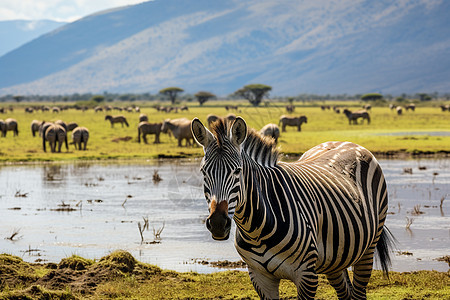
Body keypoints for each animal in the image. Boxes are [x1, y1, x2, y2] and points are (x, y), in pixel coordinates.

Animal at [192, 118, 392, 300]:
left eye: (237, 171)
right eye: (203, 172)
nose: (218, 224)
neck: (255, 231)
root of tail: (347, 142)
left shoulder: (306, 275)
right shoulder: (260, 277)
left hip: (368, 247)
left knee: (359, 292)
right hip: (336, 256)